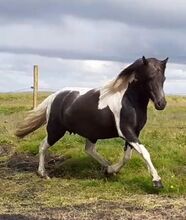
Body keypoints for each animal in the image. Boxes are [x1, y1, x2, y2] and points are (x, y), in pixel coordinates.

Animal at [16, 56, 169, 187]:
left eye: (163, 78)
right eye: (149, 77)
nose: (161, 104)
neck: (129, 100)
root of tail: (55, 96)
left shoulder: (134, 133)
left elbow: (127, 156)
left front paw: (112, 170)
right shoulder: (126, 131)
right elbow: (144, 152)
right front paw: (157, 181)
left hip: (90, 133)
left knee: (89, 150)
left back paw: (107, 168)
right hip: (55, 130)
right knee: (43, 146)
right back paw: (43, 173)